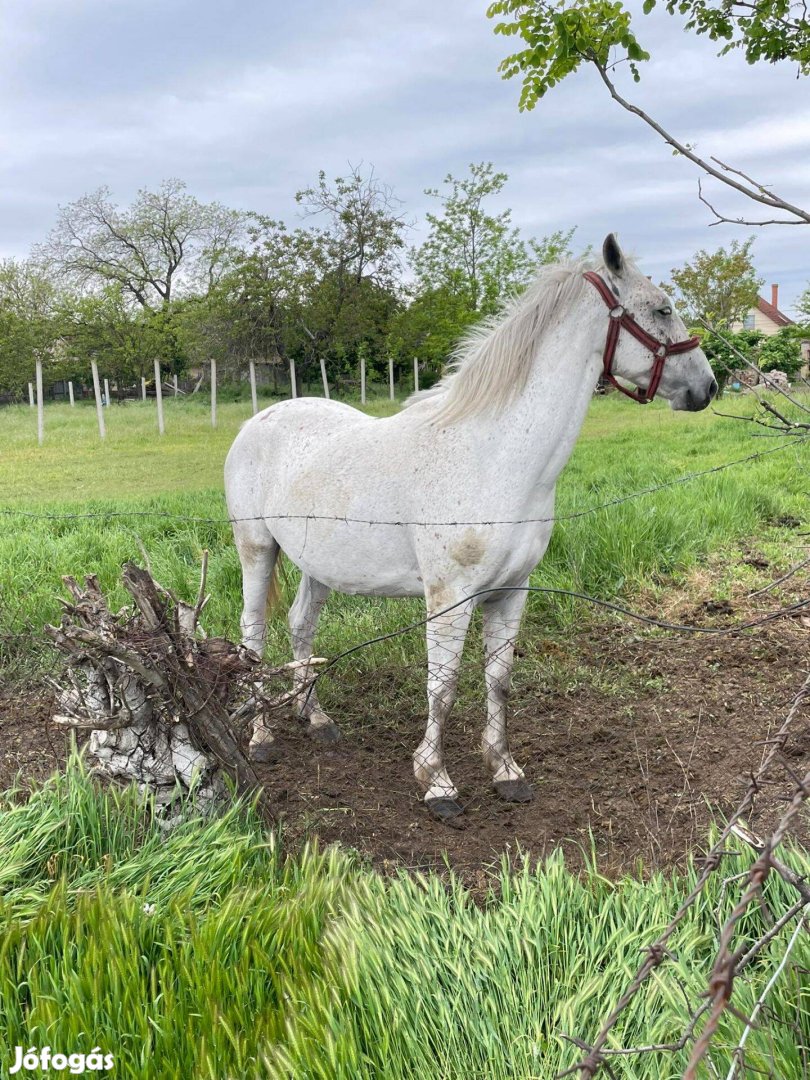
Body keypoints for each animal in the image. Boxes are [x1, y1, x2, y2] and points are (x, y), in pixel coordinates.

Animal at [223, 236, 717, 820]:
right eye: (662, 309)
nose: (708, 386)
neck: (493, 455)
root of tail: (258, 421)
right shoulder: (450, 597)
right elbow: (443, 686)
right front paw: (437, 782)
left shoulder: (512, 590)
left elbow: (498, 681)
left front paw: (505, 770)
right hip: (257, 549)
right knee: (253, 637)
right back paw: (261, 737)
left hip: (318, 563)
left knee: (301, 625)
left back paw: (316, 719)